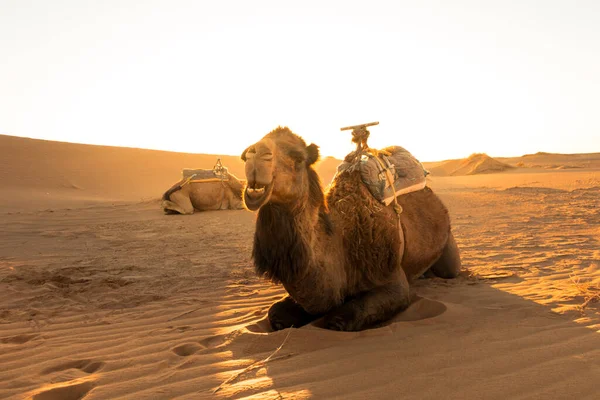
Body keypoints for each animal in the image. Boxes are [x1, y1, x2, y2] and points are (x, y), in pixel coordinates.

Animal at [241, 127, 462, 332]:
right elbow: (276, 314)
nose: (254, 154)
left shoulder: (392, 279)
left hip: (448, 250)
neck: (341, 244)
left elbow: (339, 320)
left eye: (298, 157)